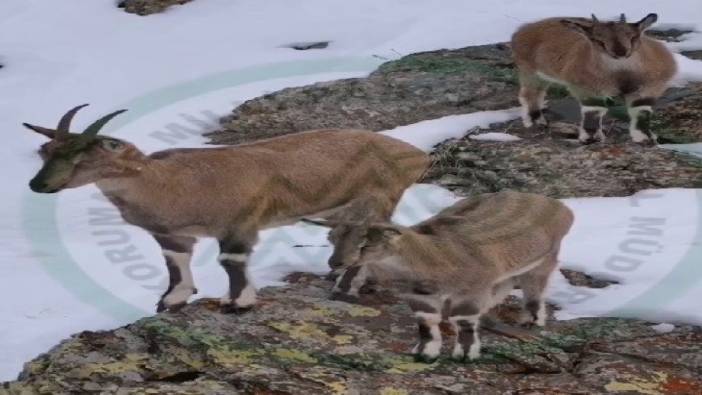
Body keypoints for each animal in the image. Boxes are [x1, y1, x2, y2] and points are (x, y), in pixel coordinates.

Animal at [306, 192, 576, 362]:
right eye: (331, 237)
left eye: (366, 243)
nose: (334, 263)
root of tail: (561, 208)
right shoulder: (419, 296)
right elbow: (426, 322)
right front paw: (424, 353)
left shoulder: (472, 289)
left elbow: (464, 321)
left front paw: (465, 355)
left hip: (544, 260)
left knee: (535, 287)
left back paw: (531, 320)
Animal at [516, 13, 680, 145]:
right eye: (598, 40)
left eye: (634, 37)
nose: (620, 52)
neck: (621, 75)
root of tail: (522, 31)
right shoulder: (586, 86)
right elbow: (593, 110)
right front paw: (591, 138)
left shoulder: (649, 87)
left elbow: (641, 111)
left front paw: (645, 137)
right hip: (531, 72)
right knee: (530, 94)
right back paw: (535, 120)